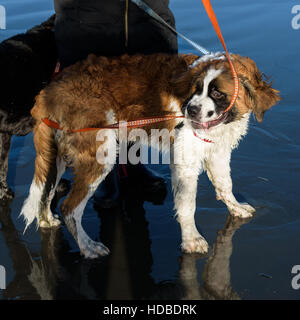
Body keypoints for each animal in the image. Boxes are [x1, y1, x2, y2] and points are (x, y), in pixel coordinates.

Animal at [19, 52, 280, 258]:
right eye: (196, 90)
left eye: (217, 94)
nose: (190, 110)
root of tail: (47, 90)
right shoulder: (185, 162)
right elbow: (188, 204)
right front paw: (191, 240)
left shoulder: (217, 151)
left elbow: (225, 184)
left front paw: (235, 207)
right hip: (99, 153)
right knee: (70, 208)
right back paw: (88, 247)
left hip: (58, 154)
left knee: (46, 191)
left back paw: (46, 220)